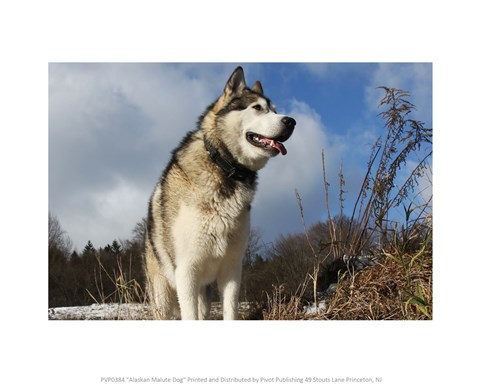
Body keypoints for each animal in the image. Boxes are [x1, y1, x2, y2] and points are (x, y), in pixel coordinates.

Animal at [144, 66, 294, 318]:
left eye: (274, 110)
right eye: (257, 108)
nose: (291, 121)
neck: (224, 168)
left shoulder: (232, 269)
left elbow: (230, 312)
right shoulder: (186, 271)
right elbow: (189, 316)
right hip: (162, 295)